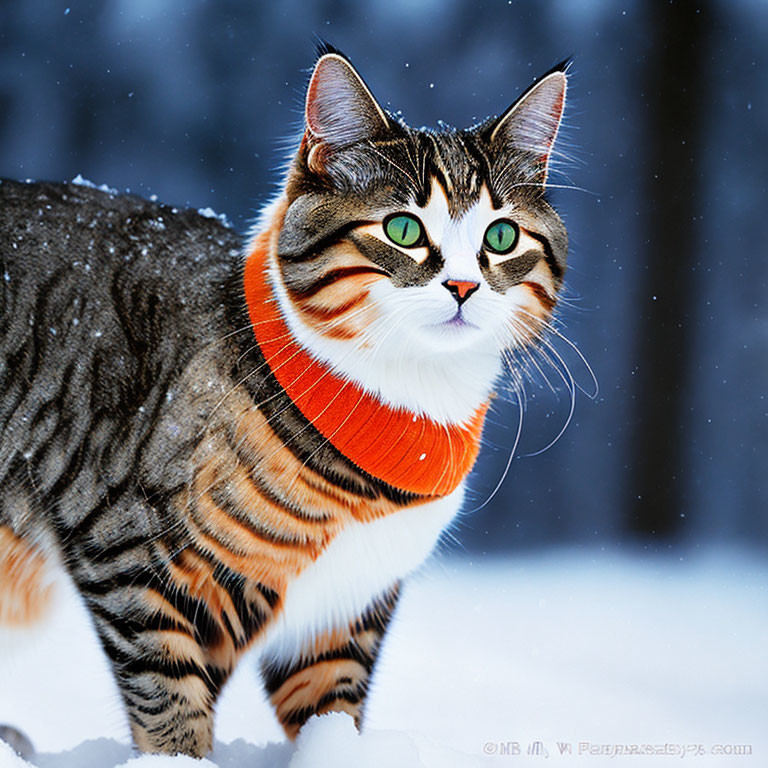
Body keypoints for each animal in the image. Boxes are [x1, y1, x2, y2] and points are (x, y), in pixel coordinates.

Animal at [0, 46, 568, 756]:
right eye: (403, 228)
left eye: (501, 237)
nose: (464, 285)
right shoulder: (125, 551)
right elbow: (171, 699)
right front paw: (180, 762)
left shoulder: (345, 609)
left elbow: (332, 711)